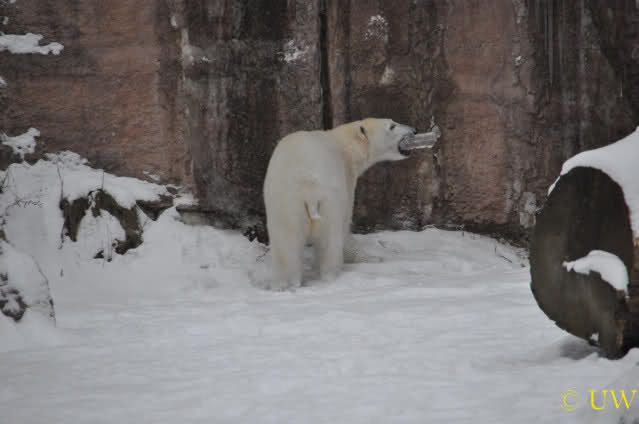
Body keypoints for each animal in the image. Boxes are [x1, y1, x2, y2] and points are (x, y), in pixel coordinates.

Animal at [263, 118, 417, 289]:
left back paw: (283, 285)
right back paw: (331, 276)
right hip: (328, 201)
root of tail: (308, 187)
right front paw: (371, 258)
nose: (414, 130)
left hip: (286, 203)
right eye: (392, 125)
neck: (345, 145)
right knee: (330, 240)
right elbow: (345, 225)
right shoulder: (346, 177)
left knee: (286, 244)